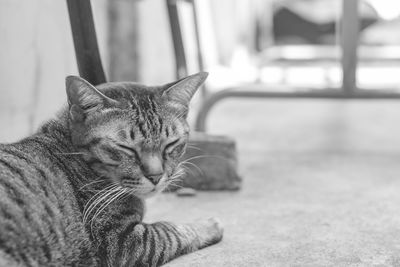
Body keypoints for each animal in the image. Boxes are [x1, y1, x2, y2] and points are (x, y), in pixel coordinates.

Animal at [0, 72, 222, 266]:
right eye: (126, 148)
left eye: (171, 144)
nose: (156, 176)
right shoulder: (119, 242)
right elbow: (170, 232)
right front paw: (208, 225)